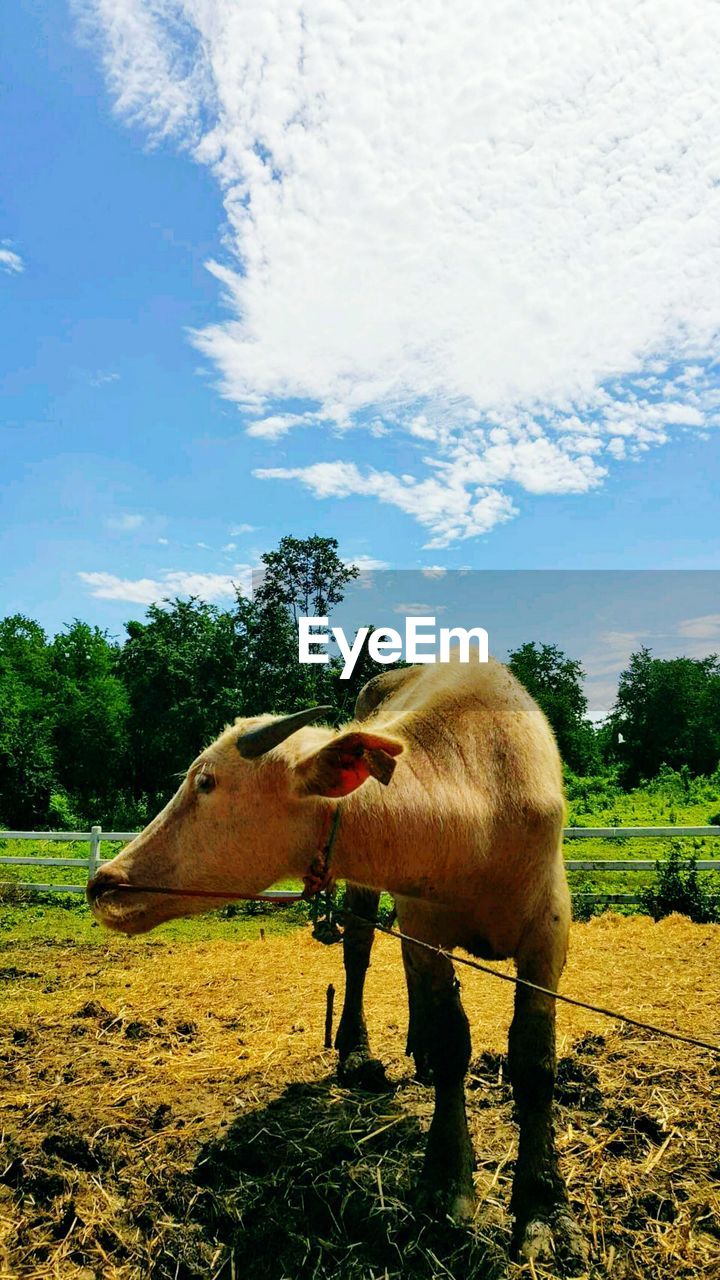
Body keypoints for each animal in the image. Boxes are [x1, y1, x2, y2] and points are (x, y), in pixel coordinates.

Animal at [88, 660, 584, 1269]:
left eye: (204, 781)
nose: (105, 882)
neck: (478, 814)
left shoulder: (549, 932)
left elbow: (535, 1061)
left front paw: (542, 1206)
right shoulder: (424, 926)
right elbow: (453, 1044)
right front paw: (446, 1182)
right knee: (361, 951)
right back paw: (358, 1052)